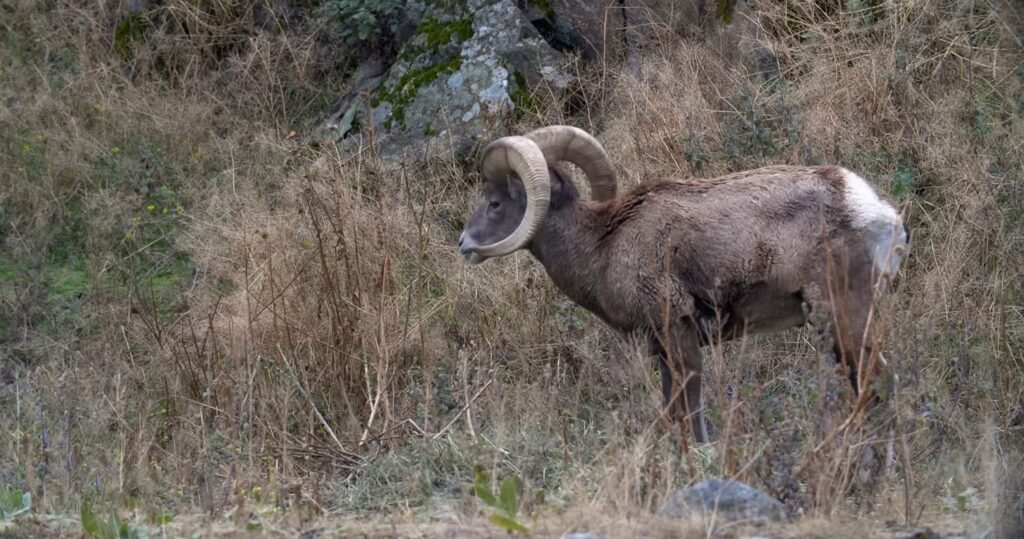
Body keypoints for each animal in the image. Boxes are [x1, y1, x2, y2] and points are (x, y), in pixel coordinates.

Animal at [456, 127, 905, 444]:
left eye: (495, 203)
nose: (464, 245)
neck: (603, 245)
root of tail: (876, 212)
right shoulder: (662, 348)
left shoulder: (679, 332)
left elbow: (691, 415)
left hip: (843, 316)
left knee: (878, 382)